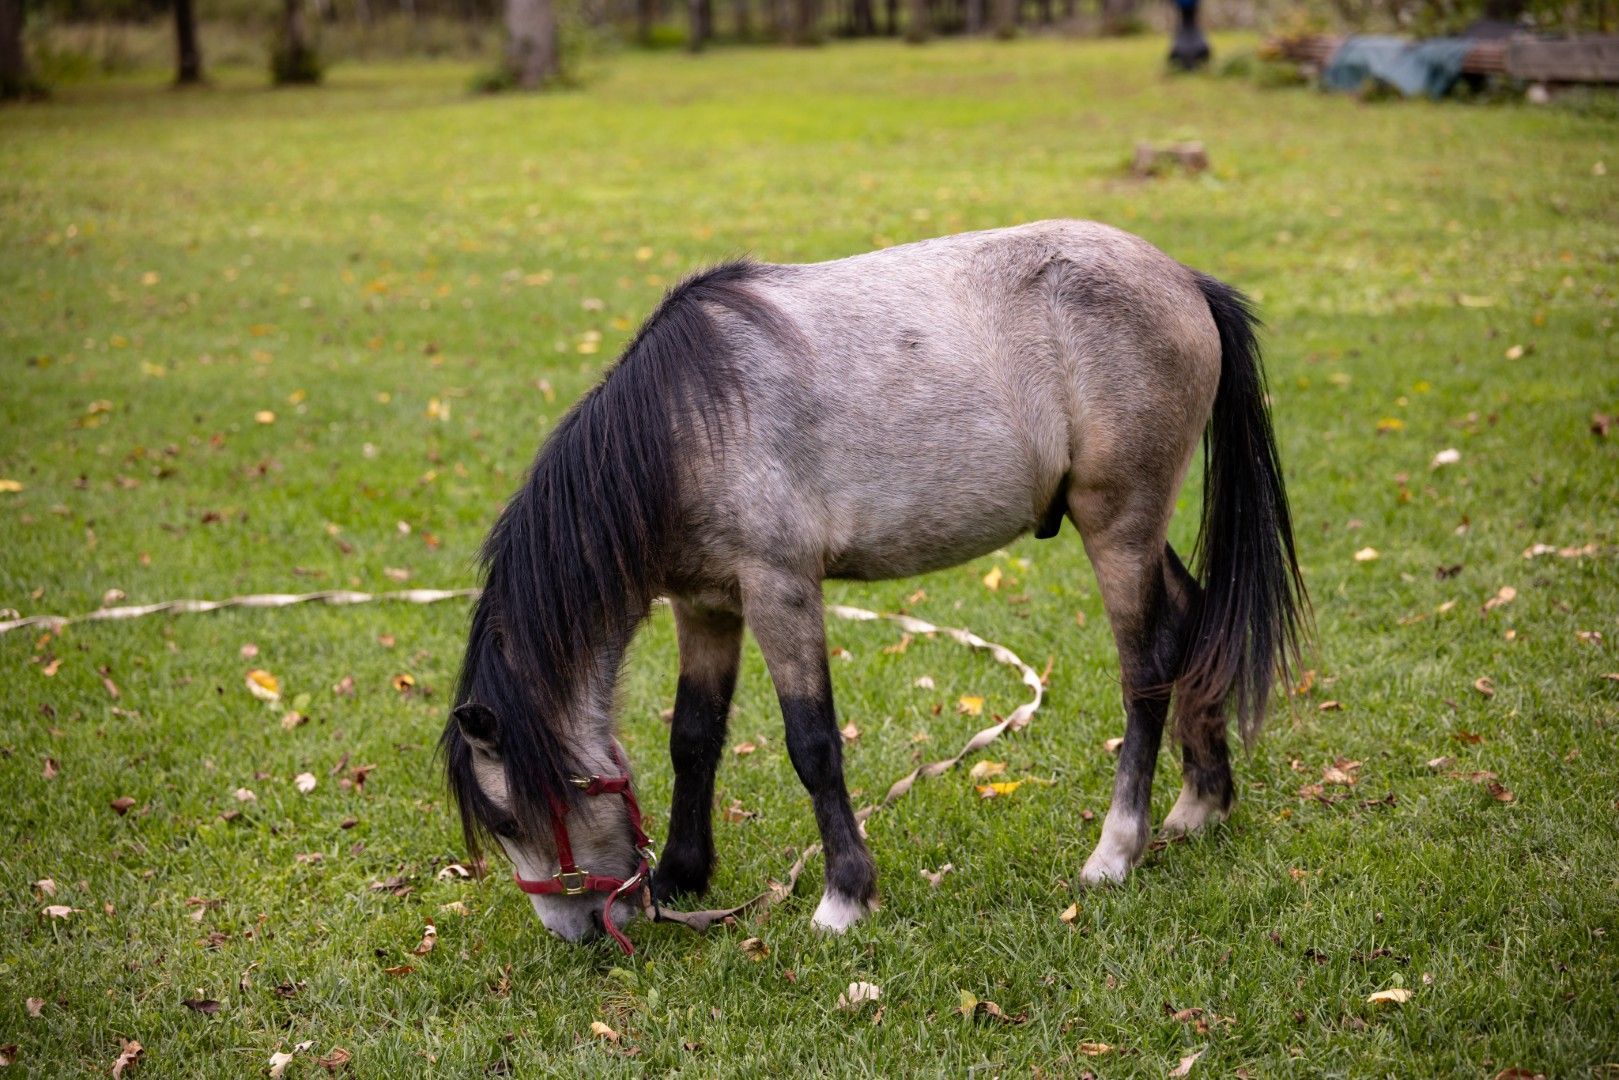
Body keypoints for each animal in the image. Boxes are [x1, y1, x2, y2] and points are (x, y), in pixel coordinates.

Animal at [441, 219, 1307, 948]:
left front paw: (844, 896)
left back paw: (1116, 851)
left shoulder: (780, 591)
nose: (580, 931)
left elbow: (813, 744)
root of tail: (1185, 280)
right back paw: (1200, 803)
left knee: (1145, 670)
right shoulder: (706, 604)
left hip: (1117, 525)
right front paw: (685, 875)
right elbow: (693, 737)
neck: (687, 423)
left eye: (514, 816)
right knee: (1193, 627)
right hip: (1135, 530)